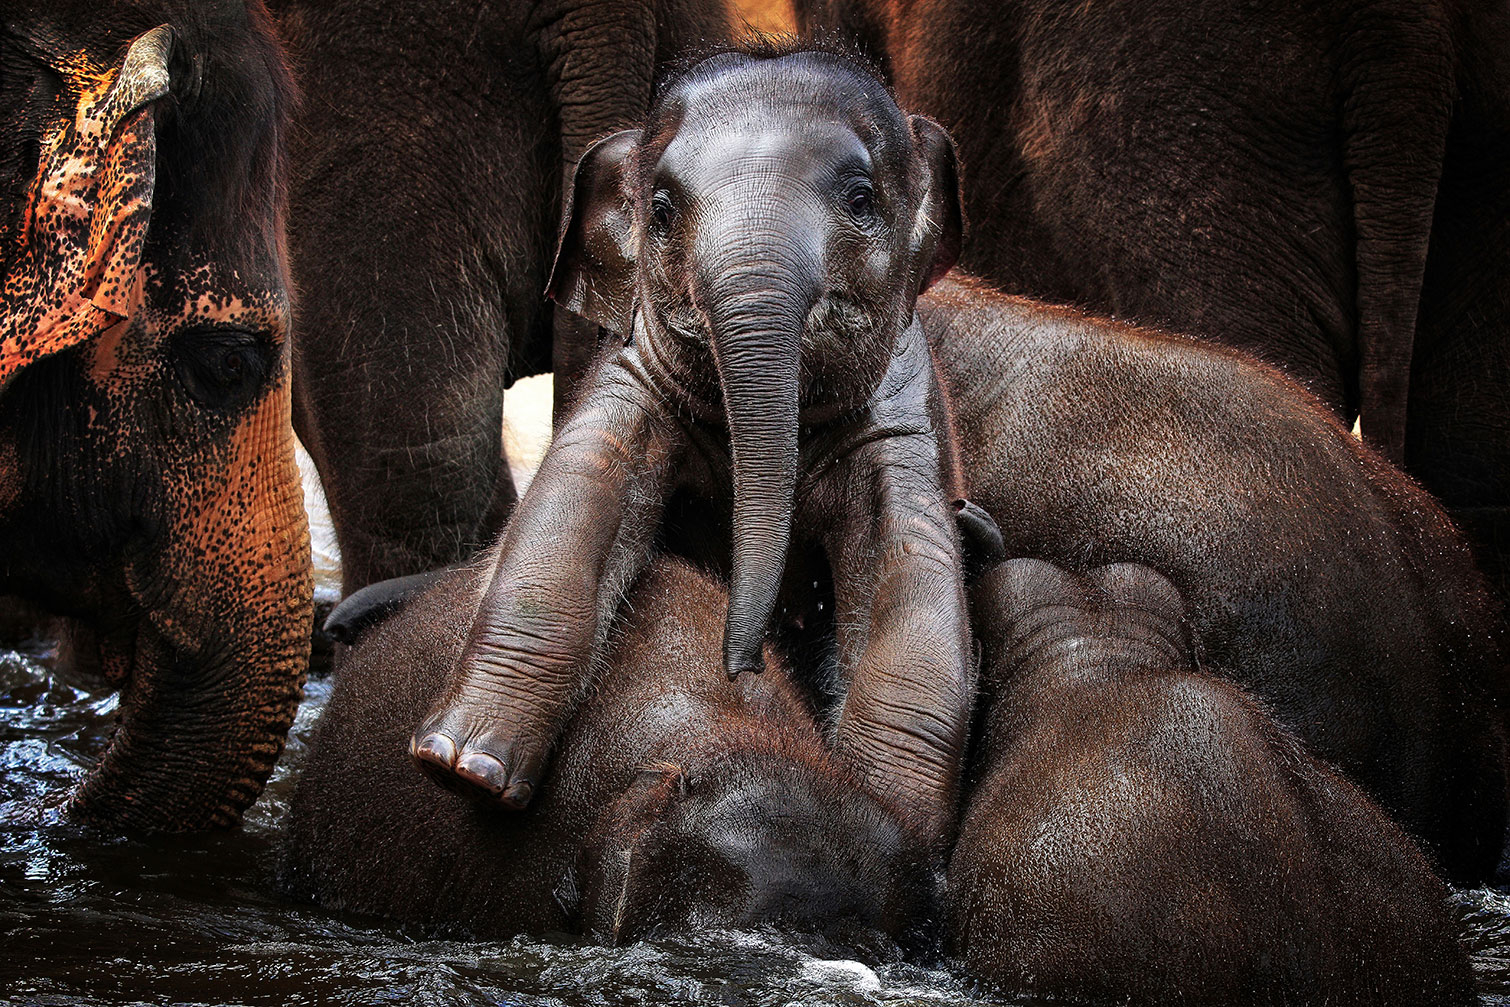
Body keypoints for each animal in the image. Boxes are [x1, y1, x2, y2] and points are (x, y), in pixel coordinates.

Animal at [408, 42, 975, 851]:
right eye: (663, 209)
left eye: (862, 198)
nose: (742, 664)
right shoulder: (632, 375)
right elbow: (576, 496)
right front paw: (463, 769)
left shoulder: (902, 422)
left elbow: (913, 584)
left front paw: (887, 822)